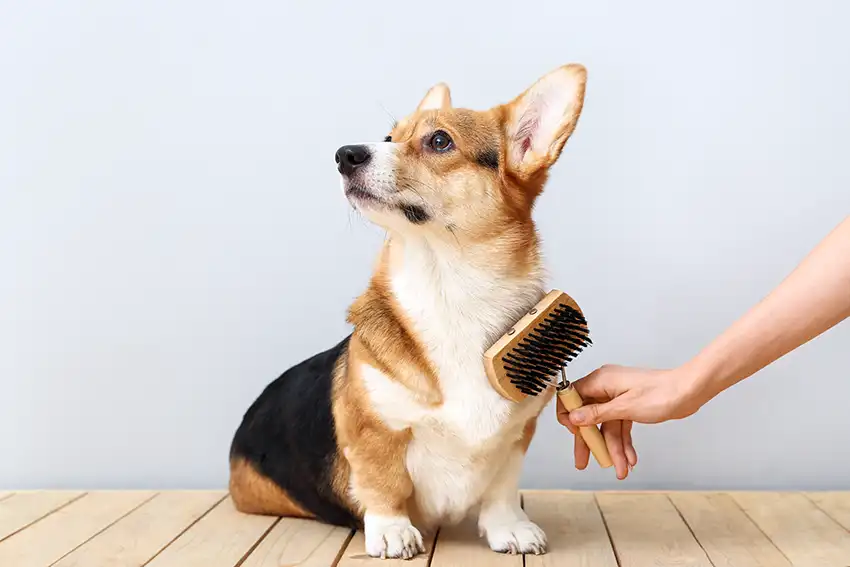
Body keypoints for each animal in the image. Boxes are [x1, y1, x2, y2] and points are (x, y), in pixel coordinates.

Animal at [229, 62, 588, 560]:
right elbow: (384, 484)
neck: (450, 291)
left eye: (439, 140)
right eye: (388, 136)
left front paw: (510, 528)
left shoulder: (517, 437)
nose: (344, 154)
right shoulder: (374, 430)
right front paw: (393, 532)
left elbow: (501, 489)